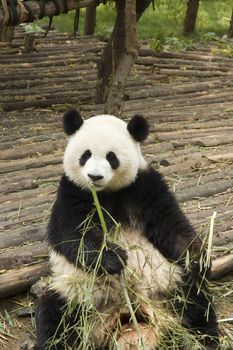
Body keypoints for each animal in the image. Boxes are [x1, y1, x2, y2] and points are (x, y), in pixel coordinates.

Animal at [35, 111, 219, 350]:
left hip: (171, 283)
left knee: (196, 299)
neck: (107, 192)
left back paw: (205, 338)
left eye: (111, 157)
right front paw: (114, 258)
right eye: (85, 155)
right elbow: (70, 234)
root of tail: (125, 314)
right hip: (77, 294)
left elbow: (171, 226)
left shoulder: (144, 187)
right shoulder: (72, 191)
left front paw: (198, 258)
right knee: (54, 315)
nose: (94, 177)